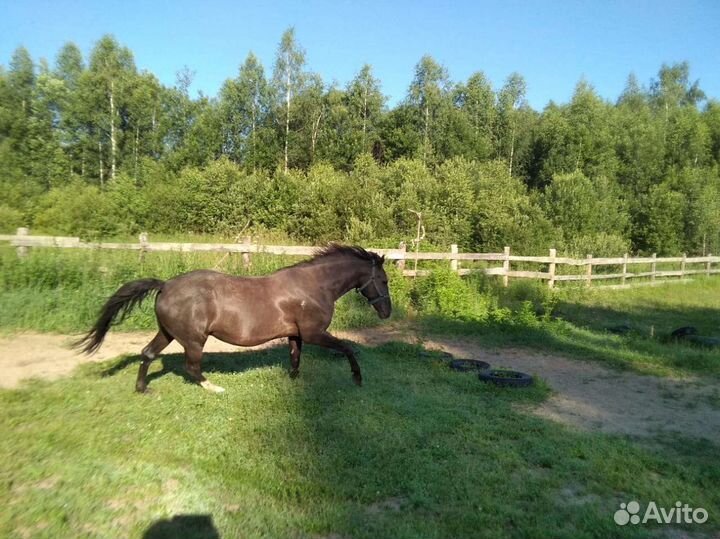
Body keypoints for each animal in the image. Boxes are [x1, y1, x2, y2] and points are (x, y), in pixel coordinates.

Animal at [76, 244, 392, 393]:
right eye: (384, 280)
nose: (387, 312)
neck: (314, 287)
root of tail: (165, 285)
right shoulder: (315, 333)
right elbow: (347, 348)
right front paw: (357, 378)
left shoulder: (296, 334)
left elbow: (294, 357)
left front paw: (293, 381)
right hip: (193, 339)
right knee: (191, 367)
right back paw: (214, 388)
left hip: (167, 332)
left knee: (147, 353)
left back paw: (142, 389)